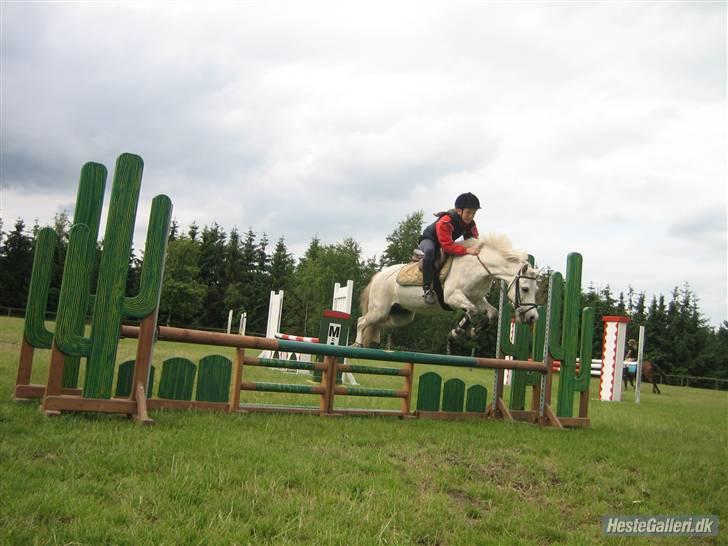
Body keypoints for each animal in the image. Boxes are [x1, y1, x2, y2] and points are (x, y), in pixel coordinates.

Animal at [352, 232, 540, 346]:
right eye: (525, 289)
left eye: (536, 290)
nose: (533, 317)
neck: (477, 267)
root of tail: (377, 277)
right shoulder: (452, 297)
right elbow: (471, 311)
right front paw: (456, 333)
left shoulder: (477, 298)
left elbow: (492, 313)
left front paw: (473, 332)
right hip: (380, 309)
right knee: (361, 321)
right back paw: (358, 343)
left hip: (400, 316)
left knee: (375, 324)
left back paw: (373, 343)